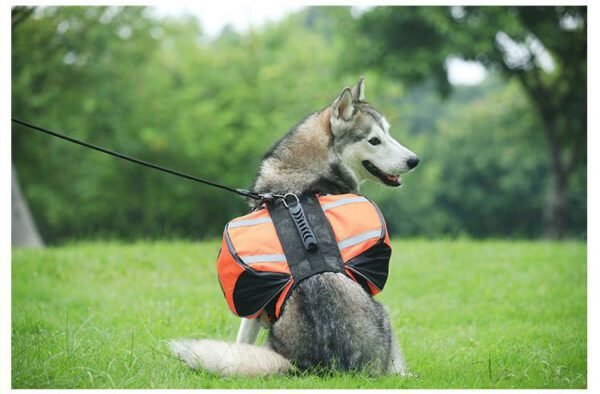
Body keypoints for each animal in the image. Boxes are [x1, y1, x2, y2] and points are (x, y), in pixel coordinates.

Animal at [170, 77, 418, 376]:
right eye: (374, 140)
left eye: (388, 133)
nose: (414, 160)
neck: (303, 179)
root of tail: (322, 365)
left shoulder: (254, 310)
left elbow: (241, 339)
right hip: (385, 317)